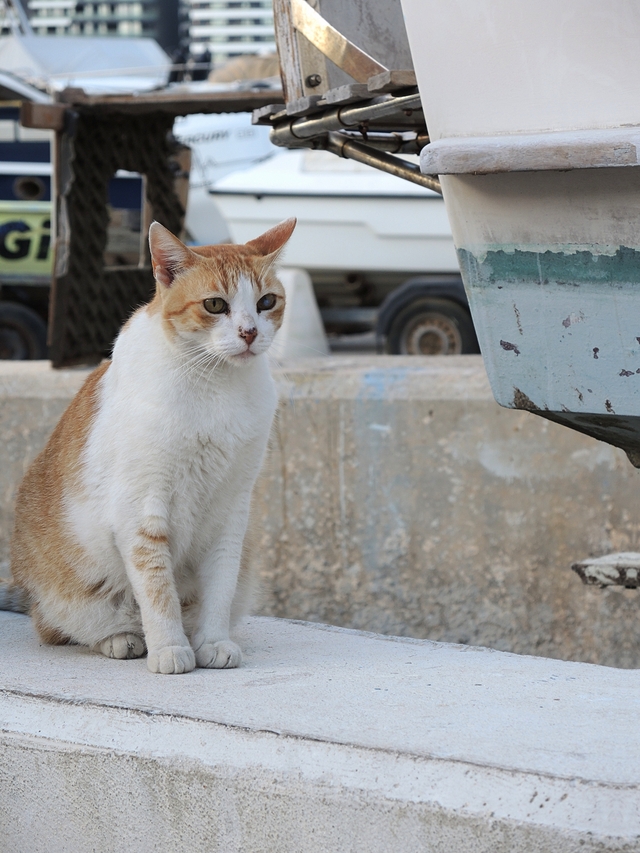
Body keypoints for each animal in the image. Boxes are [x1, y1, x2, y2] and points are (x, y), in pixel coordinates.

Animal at [6, 218, 296, 672]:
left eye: (267, 302)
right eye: (215, 305)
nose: (249, 332)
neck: (216, 384)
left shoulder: (232, 511)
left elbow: (220, 585)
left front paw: (213, 640)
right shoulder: (142, 510)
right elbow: (158, 590)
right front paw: (170, 648)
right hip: (69, 597)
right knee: (64, 627)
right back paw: (121, 638)